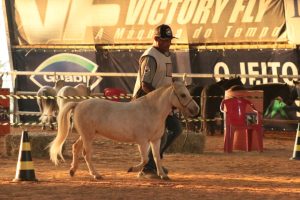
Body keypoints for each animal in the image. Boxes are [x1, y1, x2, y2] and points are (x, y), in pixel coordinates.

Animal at [49, 81, 199, 180]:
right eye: (183, 95)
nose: (196, 109)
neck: (151, 111)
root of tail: (78, 103)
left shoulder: (155, 140)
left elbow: (156, 157)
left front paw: (162, 175)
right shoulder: (142, 141)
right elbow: (145, 159)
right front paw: (132, 169)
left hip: (86, 135)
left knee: (75, 147)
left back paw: (72, 171)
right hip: (88, 136)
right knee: (86, 154)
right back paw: (96, 175)